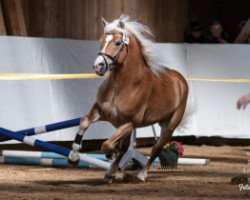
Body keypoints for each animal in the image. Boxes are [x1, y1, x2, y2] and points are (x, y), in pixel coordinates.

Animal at [68, 15, 188, 184]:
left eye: (118, 43)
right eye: (101, 40)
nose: (98, 66)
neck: (123, 85)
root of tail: (180, 80)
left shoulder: (129, 123)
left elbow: (107, 145)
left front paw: (110, 153)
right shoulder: (101, 111)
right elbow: (84, 122)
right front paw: (73, 158)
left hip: (169, 125)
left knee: (156, 148)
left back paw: (141, 174)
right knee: (126, 148)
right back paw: (110, 174)